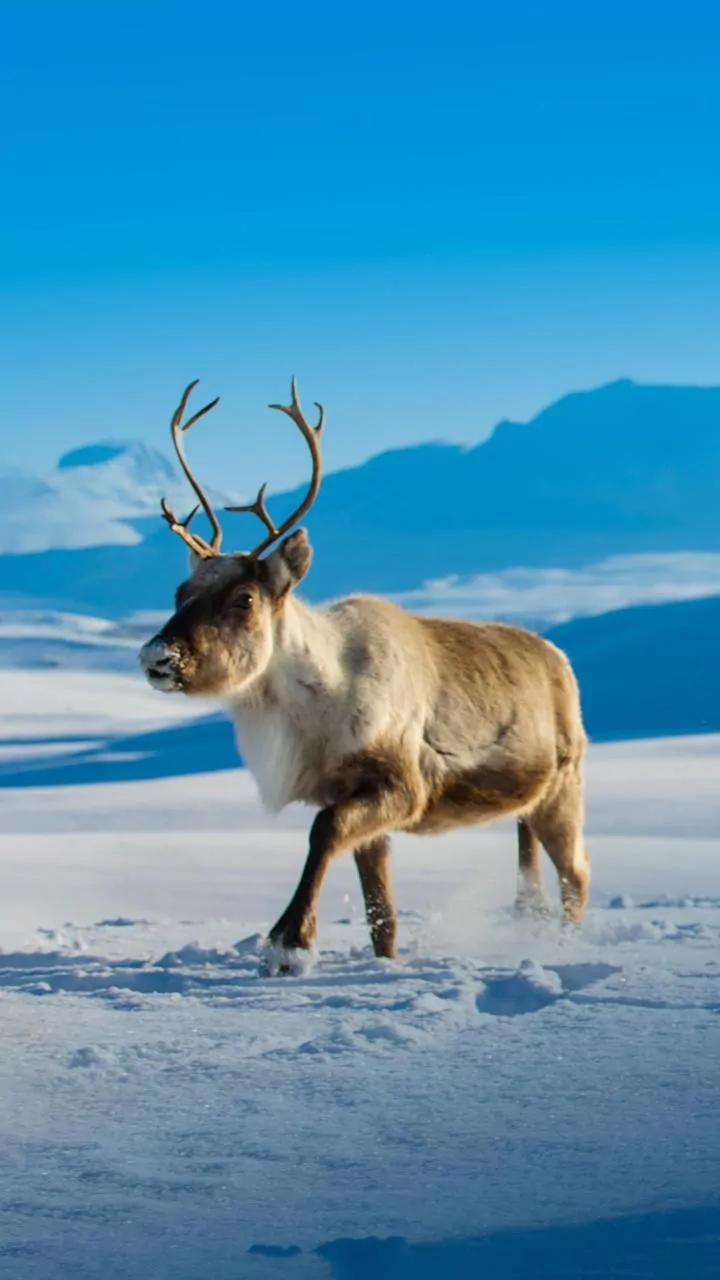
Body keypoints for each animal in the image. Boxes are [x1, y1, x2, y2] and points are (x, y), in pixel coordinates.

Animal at [139, 378, 591, 974]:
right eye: (180, 592)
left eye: (244, 598)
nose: (157, 656)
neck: (315, 703)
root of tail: (559, 659)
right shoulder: (353, 797)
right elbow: (382, 914)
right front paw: (376, 960)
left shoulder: (401, 786)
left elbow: (323, 831)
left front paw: (289, 943)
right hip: (531, 804)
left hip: (564, 785)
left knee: (577, 876)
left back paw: (566, 949)